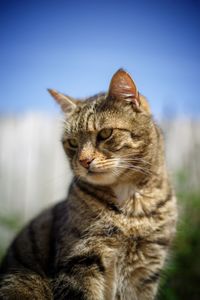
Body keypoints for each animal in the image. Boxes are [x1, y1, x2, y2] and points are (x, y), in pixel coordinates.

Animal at [0, 69, 177, 298]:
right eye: (72, 143)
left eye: (105, 133)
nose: (84, 161)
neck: (131, 206)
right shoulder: (80, 259)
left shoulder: (146, 268)